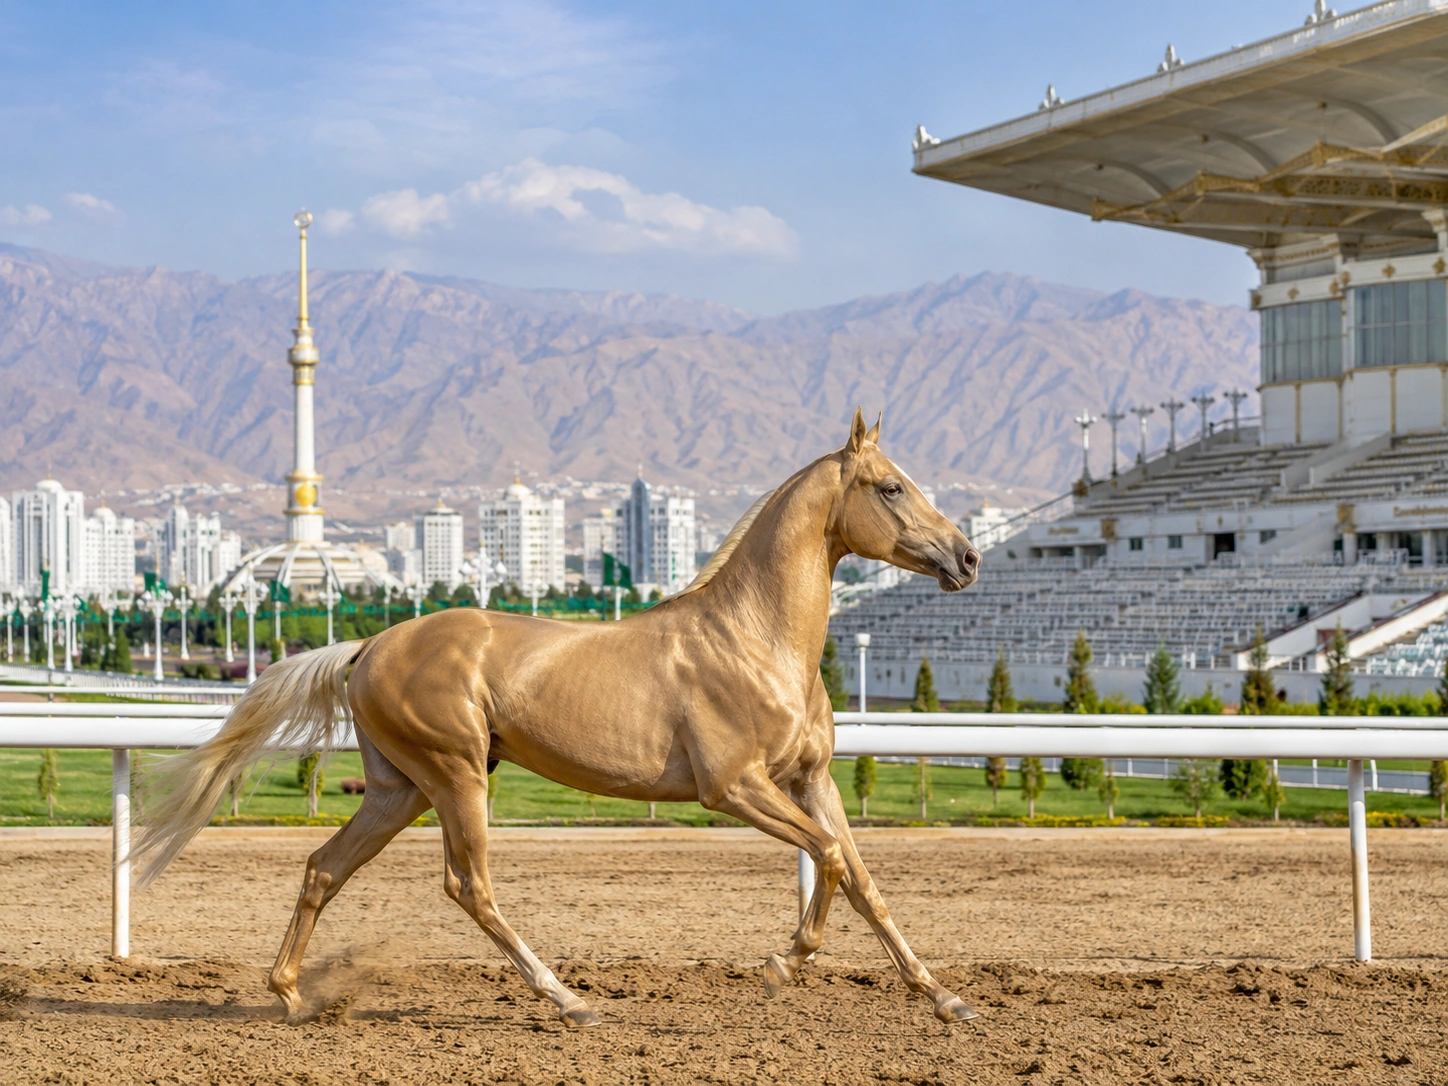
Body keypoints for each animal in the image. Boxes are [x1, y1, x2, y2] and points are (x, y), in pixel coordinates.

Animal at [133, 408, 982, 1028]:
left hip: (398, 790)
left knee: (324, 868)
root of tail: (368, 644)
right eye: (890, 487)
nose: (967, 558)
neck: (755, 639)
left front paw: (945, 998)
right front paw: (783, 963)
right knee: (468, 885)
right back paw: (571, 1001)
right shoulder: (735, 788)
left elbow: (864, 880)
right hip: (455, 777)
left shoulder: (811, 781)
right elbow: (831, 859)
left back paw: (292, 995)